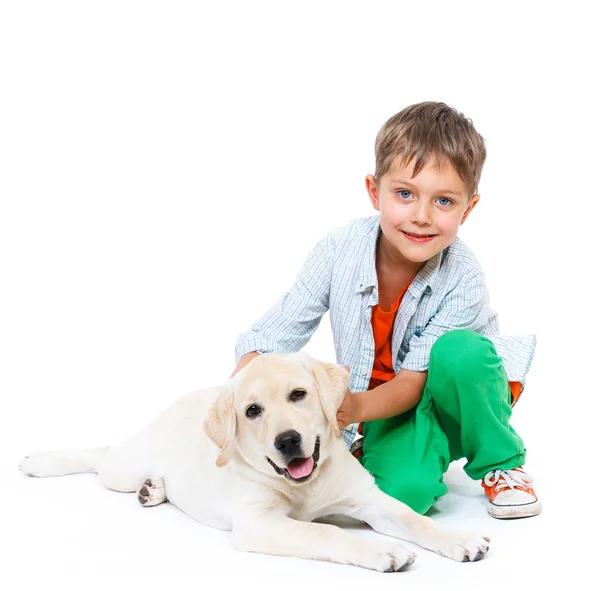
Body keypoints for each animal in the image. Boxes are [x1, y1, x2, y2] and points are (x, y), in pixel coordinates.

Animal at [18, 354, 490, 572]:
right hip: (122, 466)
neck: (306, 484)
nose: (288, 441)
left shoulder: (367, 498)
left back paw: (155, 489)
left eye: (299, 394)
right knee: (100, 457)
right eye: (251, 411)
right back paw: (38, 461)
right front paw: (382, 550)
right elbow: (323, 532)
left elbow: (414, 519)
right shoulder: (258, 521)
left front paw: (460, 538)